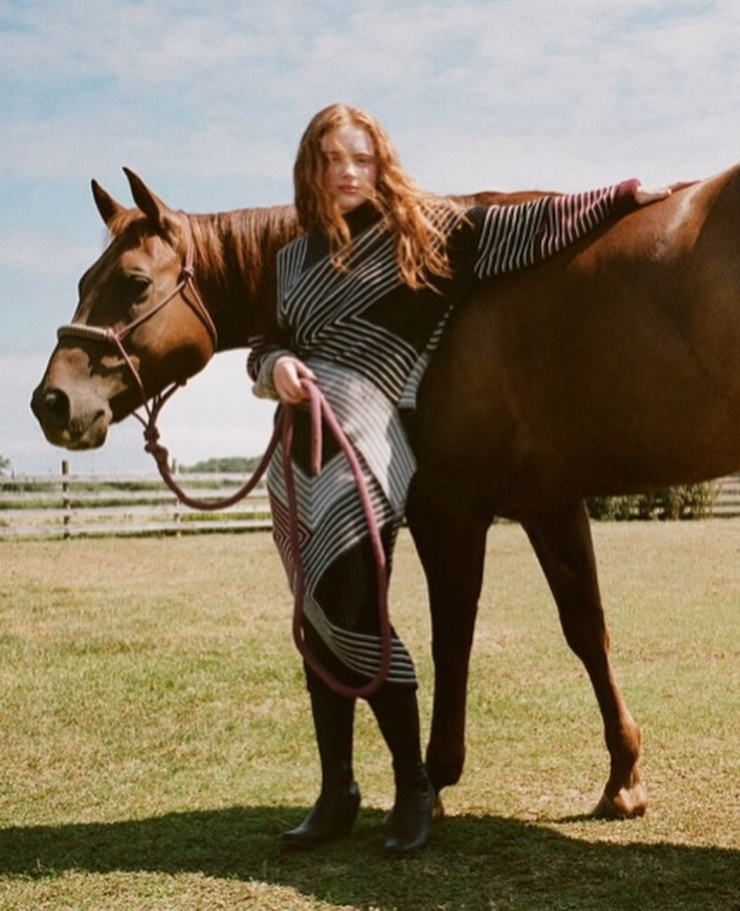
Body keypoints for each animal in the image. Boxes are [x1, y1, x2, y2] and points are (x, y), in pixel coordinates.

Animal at [31, 164, 740, 820]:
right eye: (82, 282)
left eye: (134, 283)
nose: (52, 402)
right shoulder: (550, 504)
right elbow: (587, 631)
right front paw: (624, 780)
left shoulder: (449, 509)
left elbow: (451, 640)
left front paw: (436, 780)